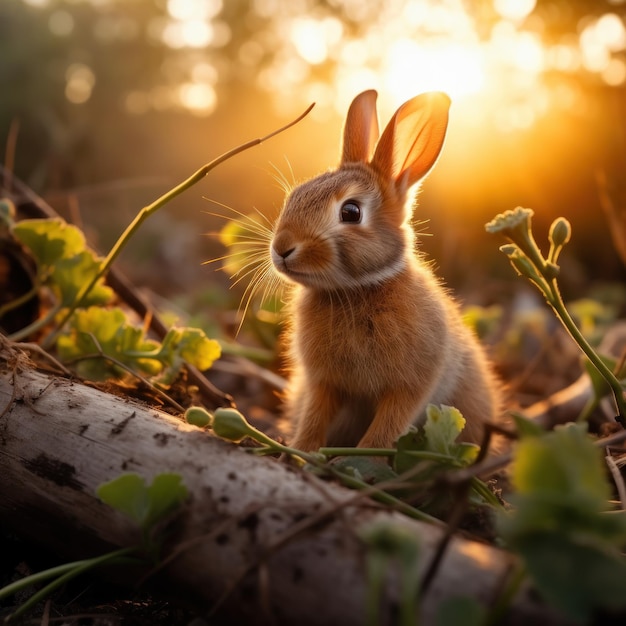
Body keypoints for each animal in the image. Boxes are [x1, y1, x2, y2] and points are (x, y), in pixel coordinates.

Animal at [266, 90, 498, 450]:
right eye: (295, 195)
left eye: (350, 211)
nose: (281, 248)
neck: (356, 289)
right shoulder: (323, 382)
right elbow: (314, 416)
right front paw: (301, 450)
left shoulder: (410, 386)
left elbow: (387, 427)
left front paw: (362, 458)